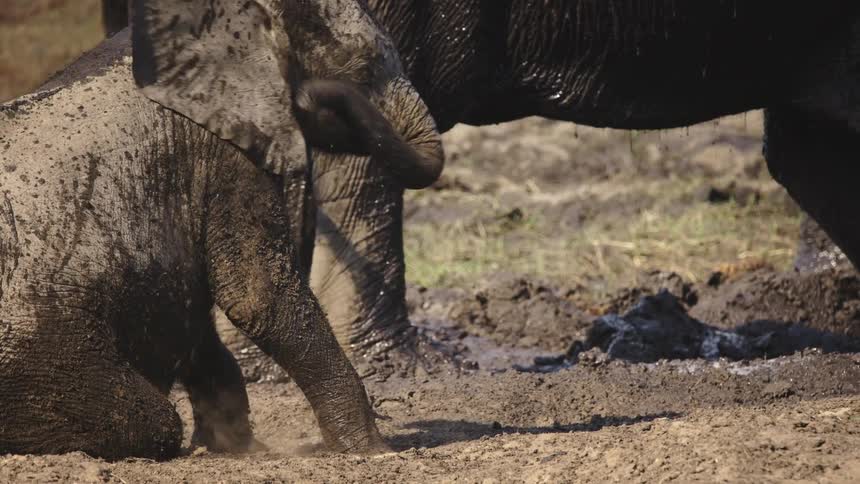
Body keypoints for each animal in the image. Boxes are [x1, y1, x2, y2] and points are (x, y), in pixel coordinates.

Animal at [0, 0, 444, 460]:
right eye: (366, 68)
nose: (308, 97)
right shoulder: (229, 150)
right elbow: (257, 295)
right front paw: (372, 449)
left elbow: (202, 315)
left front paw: (237, 447)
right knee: (156, 421)